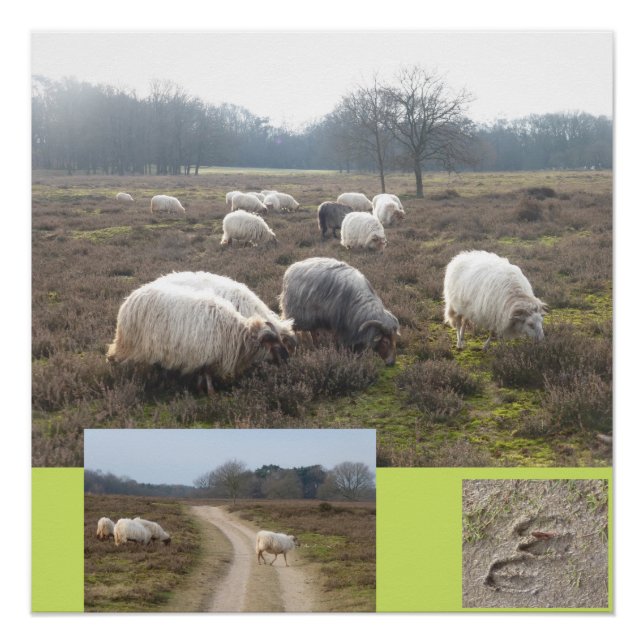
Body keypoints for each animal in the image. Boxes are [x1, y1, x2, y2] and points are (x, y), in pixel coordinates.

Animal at [106, 279, 289, 395]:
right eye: (274, 343)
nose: (287, 360)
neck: (234, 332)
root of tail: (130, 298)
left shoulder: (203, 354)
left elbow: (202, 373)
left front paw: (201, 390)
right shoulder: (206, 352)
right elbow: (206, 373)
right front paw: (211, 392)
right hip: (131, 342)